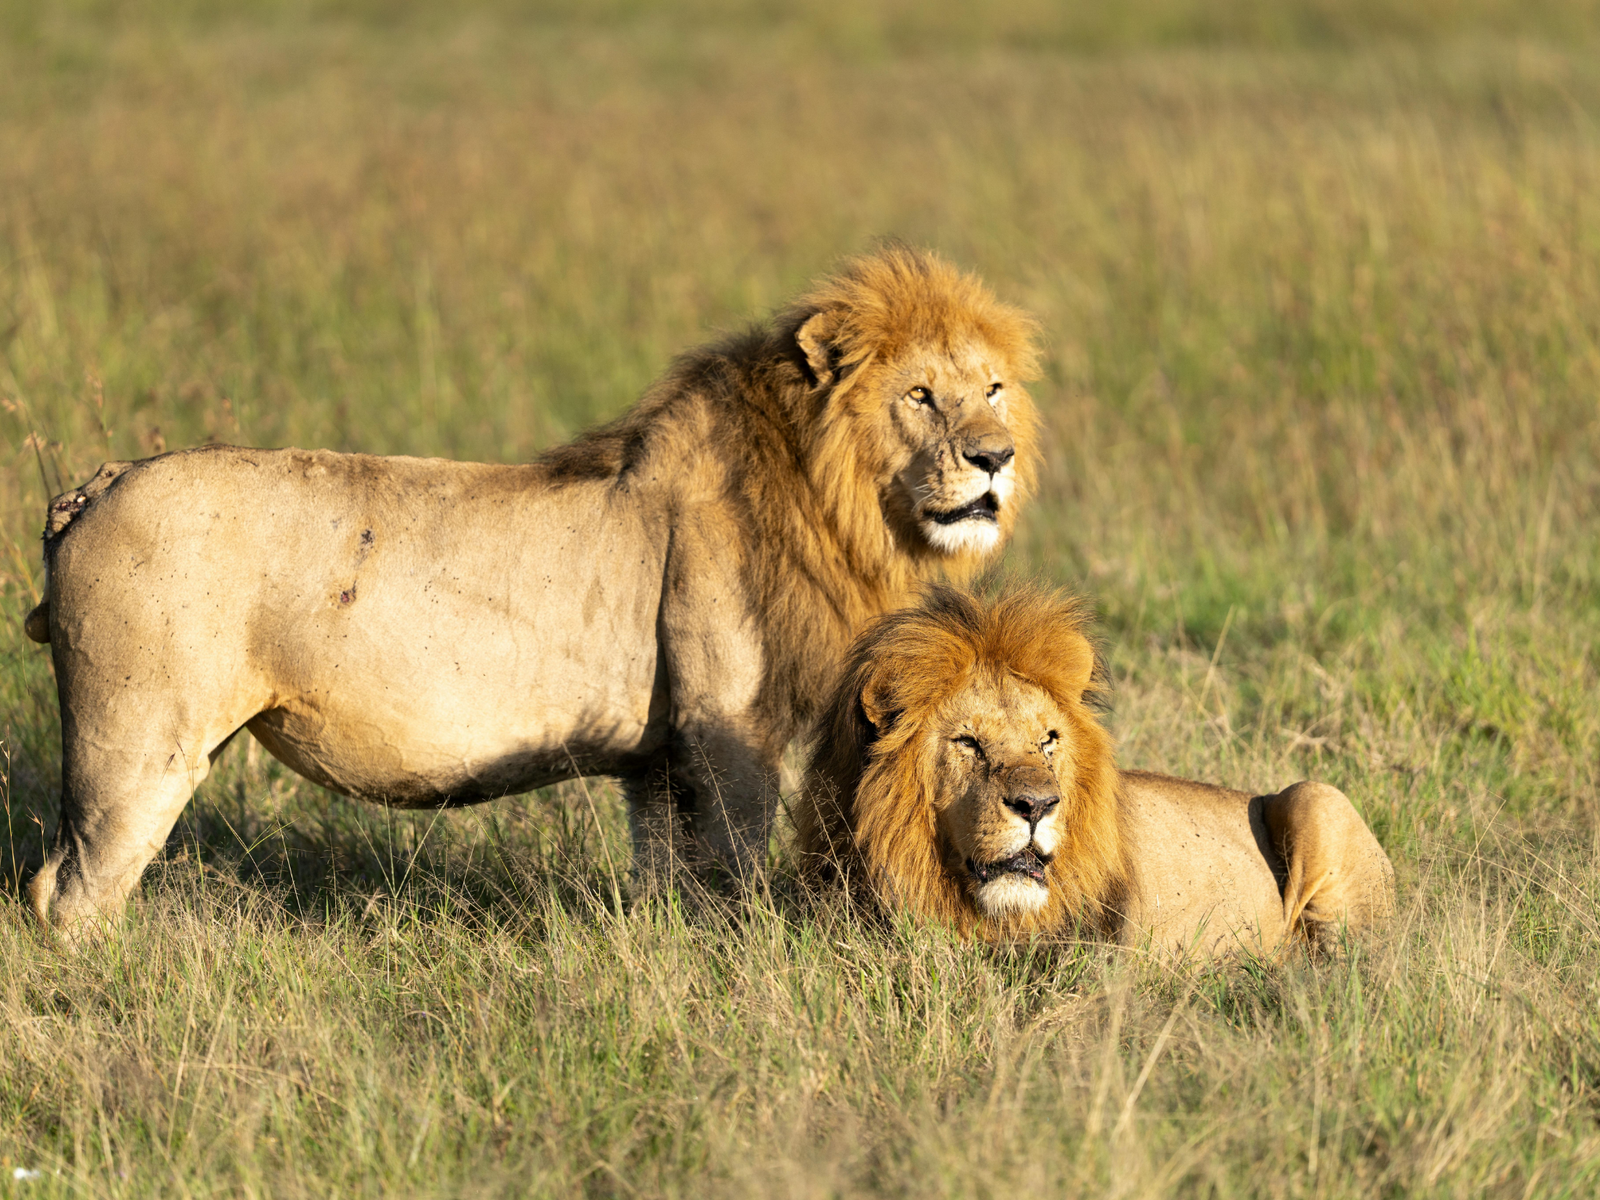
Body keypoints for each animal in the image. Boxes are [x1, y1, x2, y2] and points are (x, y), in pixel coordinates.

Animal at [23, 245, 1041, 933]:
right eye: (920, 395)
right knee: (65, 892)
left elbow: (670, 883)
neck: (830, 494)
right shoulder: (729, 734)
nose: (995, 458)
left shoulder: (659, 762)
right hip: (136, 743)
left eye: (992, 388)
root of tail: (95, 485)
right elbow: (738, 876)